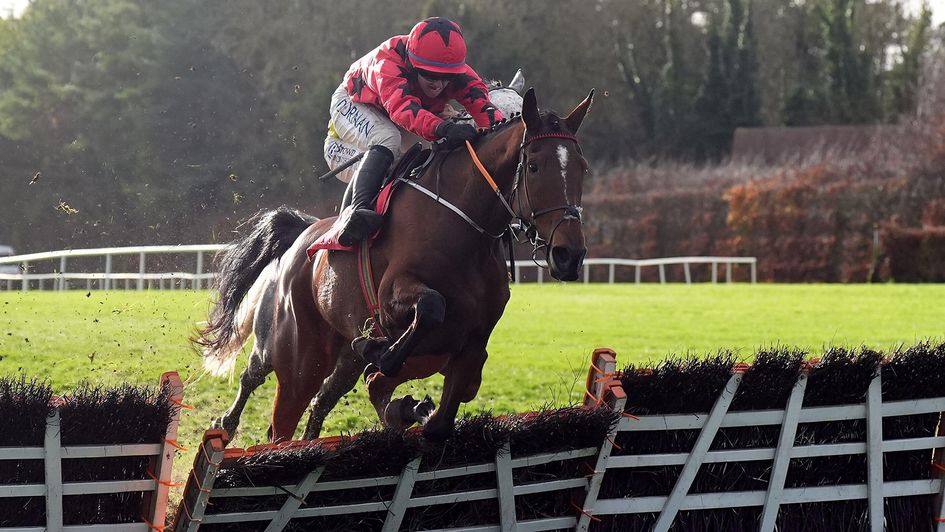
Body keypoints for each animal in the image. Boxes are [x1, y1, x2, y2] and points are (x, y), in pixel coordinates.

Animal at [195, 82, 592, 440]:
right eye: (535, 166)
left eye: (582, 168)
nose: (569, 255)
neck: (463, 227)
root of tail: (305, 232)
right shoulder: (392, 300)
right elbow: (428, 308)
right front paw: (385, 360)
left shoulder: (469, 343)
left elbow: (447, 405)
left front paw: (407, 406)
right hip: (296, 353)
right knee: (269, 398)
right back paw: (226, 424)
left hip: (336, 357)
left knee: (318, 402)